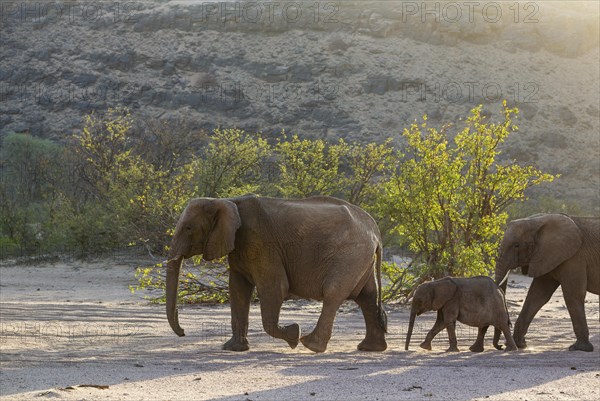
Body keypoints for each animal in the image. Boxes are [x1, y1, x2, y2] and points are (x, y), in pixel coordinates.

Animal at [165, 195, 390, 352]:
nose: (183, 332)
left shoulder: (262, 243)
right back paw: (370, 348)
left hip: (350, 255)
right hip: (360, 258)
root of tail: (375, 230)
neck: (226, 201)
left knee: (334, 293)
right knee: (367, 297)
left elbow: (275, 289)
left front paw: (293, 335)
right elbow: (238, 290)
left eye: (188, 228)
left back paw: (309, 344)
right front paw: (232, 349)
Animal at [494, 212, 596, 350]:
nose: (501, 346)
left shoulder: (574, 257)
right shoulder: (546, 255)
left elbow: (573, 294)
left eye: (516, 245)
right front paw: (520, 345)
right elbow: (537, 295)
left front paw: (579, 348)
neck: (538, 220)